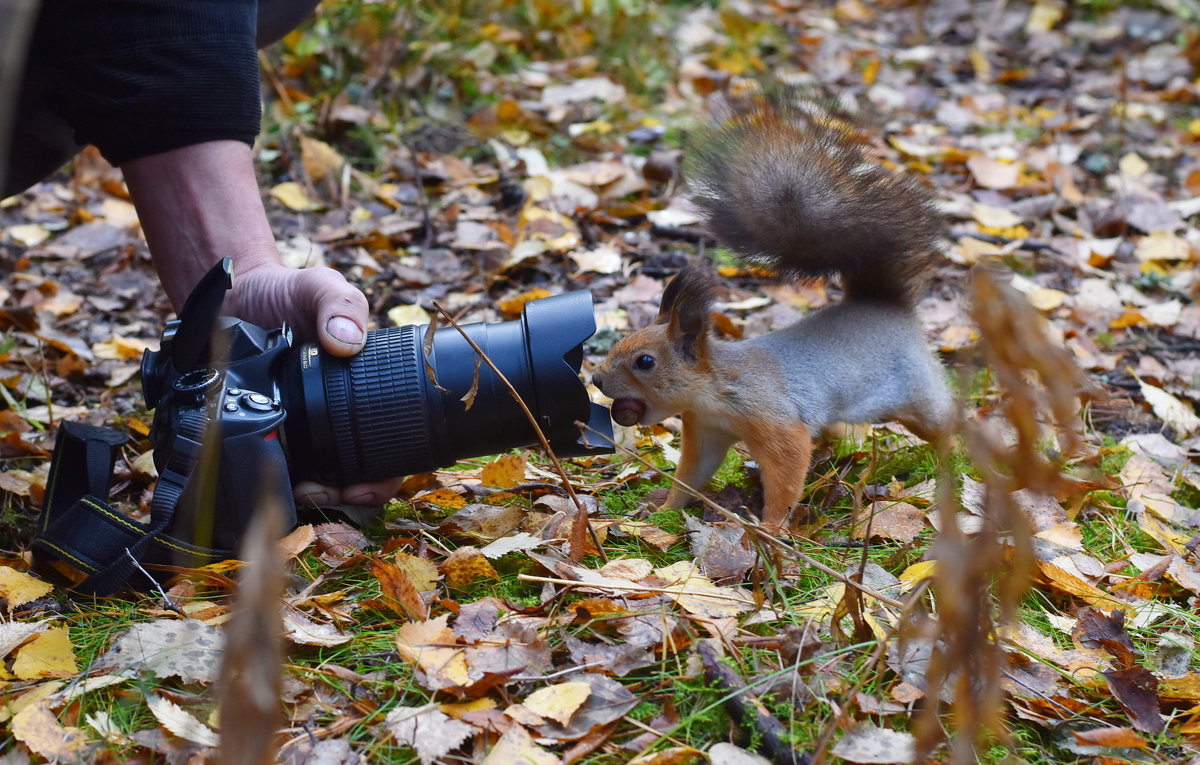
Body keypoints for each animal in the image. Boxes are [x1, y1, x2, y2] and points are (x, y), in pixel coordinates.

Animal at [592, 97, 955, 532]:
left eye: (645, 362)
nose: (595, 378)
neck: (716, 390)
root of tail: (884, 303)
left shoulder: (776, 421)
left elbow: (786, 474)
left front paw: (768, 529)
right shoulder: (706, 430)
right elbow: (692, 474)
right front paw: (663, 511)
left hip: (919, 390)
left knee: (943, 422)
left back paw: (954, 457)